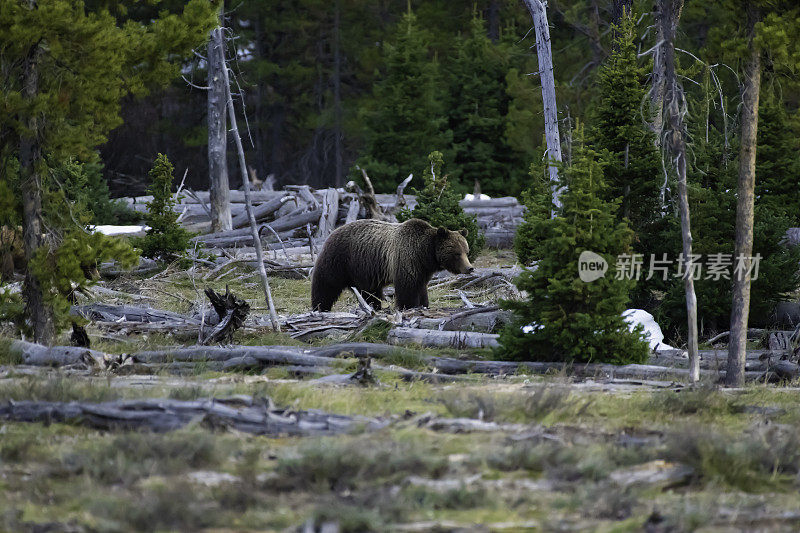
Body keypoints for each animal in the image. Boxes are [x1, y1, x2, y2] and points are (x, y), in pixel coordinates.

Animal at [310, 217, 476, 312]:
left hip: (362, 270)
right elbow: (407, 287)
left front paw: (424, 304)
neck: (425, 253)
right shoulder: (406, 257)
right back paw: (319, 307)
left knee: (369, 292)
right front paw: (408, 306)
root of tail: (333, 231)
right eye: (456, 253)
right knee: (326, 284)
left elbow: (421, 286)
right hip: (340, 259)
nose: (469, 268)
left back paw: (374, 307)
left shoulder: (422, 268)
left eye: (466, 251)